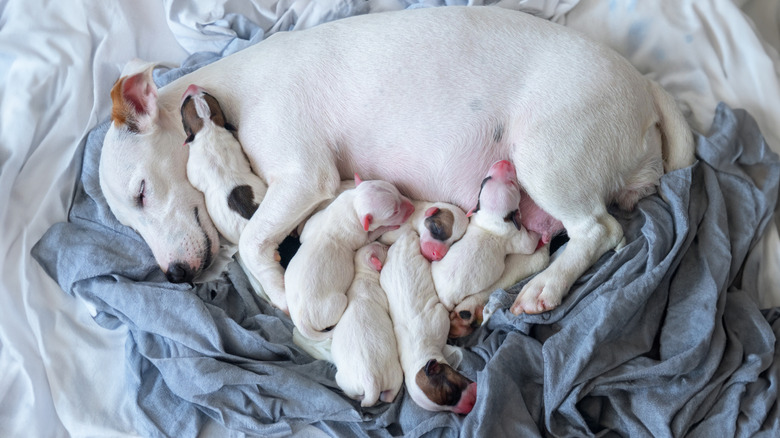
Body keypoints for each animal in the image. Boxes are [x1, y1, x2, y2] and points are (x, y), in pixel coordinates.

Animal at [99, 6, 696, 314]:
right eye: (129, 217)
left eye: (142, 192)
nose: (175, 276)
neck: (224, 93)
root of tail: (644, 85)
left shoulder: (306, 175)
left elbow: (250, 243)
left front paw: (278, 288)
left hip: (547, 161)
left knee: (600, 231)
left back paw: (544, 289)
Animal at [282, 176, 414, 340]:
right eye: (394, 212)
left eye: (397, 190)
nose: (413, 206)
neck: (353, 205)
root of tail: (301, 322)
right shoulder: (359, 235)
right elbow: (371, 237)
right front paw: (387, 227)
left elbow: (304, 232)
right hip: (333, 305)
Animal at [378, 229, 476, 414]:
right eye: (446, 408)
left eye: (451, 392)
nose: (470, 408)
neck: (421, 354)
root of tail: (403, 238)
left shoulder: (440, 317)